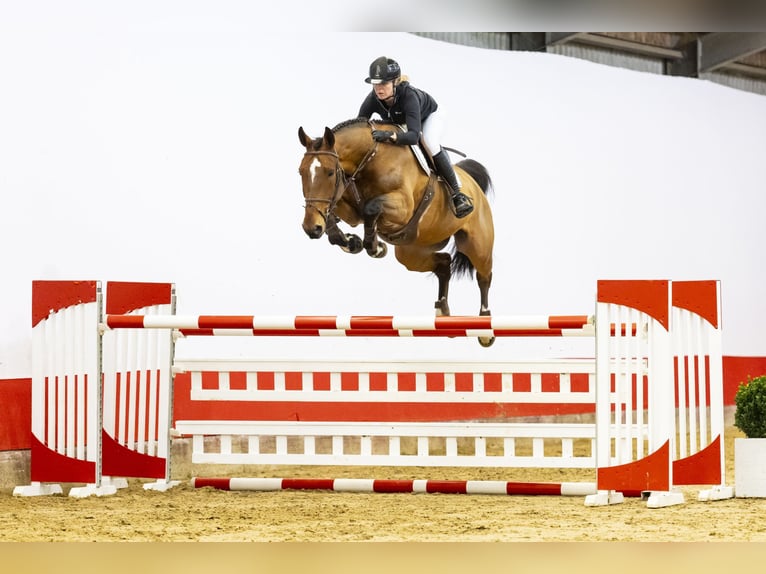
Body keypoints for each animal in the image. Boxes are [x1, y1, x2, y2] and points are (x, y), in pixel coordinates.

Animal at [296, 117, 500, 346]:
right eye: (301, 172)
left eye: (330, 172)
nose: (310, 228)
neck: (370, 158)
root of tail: (473, 184)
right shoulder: (350, 207)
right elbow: (336, 212)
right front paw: (350, 241)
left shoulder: (402, 207)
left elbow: (371, 208)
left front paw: (374, 247)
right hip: (411, 252)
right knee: (444, 263)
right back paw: (442, 313)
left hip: (477, 245)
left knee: (484, 277)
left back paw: (484, 329)